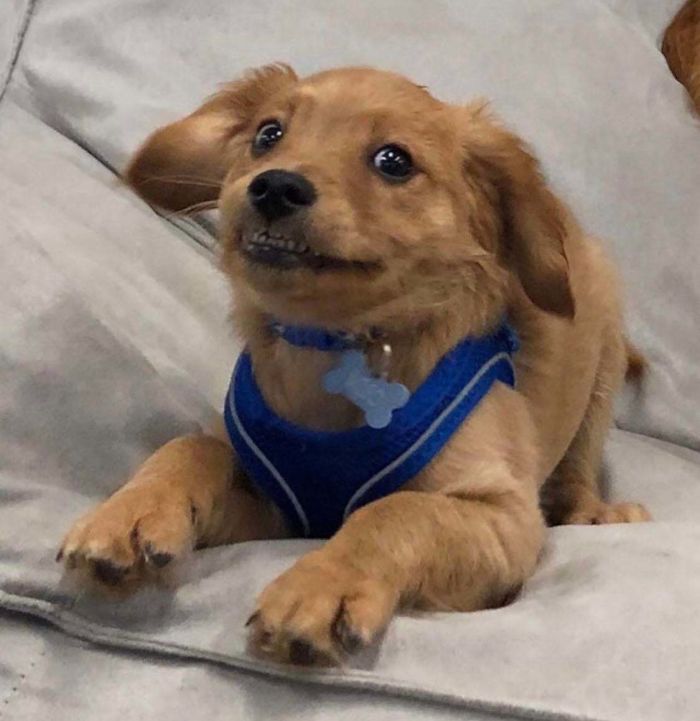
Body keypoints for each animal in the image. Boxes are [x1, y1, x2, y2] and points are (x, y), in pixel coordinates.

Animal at [58, 65, 650, 665]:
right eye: (268, 134)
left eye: (394, 160)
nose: (275, 186)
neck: (332, 346)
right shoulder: (278, 514)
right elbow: (192, 446)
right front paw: (133, 511)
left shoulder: (506, 518)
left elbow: (397, 510)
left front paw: (323, 583)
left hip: (600, 378)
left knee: (578, 468)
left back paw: (596, 510)